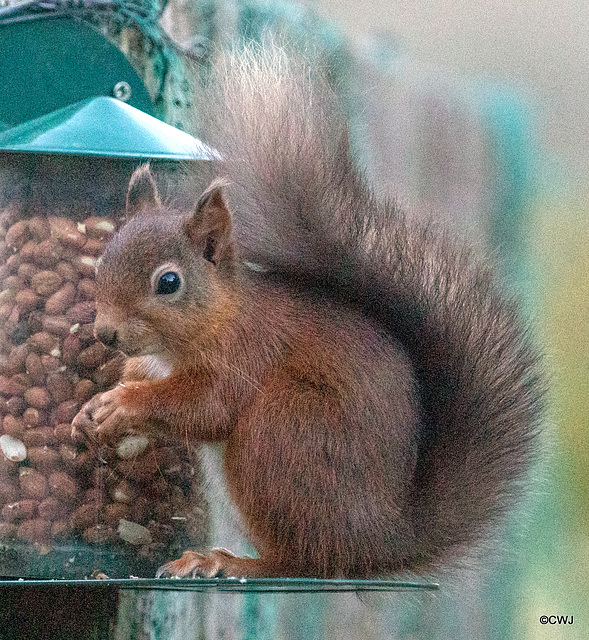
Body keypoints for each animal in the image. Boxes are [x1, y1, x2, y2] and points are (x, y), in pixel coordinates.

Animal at [71, 46, 544, 580]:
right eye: (103, 259)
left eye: (168, 283)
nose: (105, 334)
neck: (210, 320)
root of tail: (379, 541)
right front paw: (92, 407)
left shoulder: (246, 351)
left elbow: (207, 406)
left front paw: (124, 404)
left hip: (282, 432)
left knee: (302, 559)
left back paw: (227, 561)